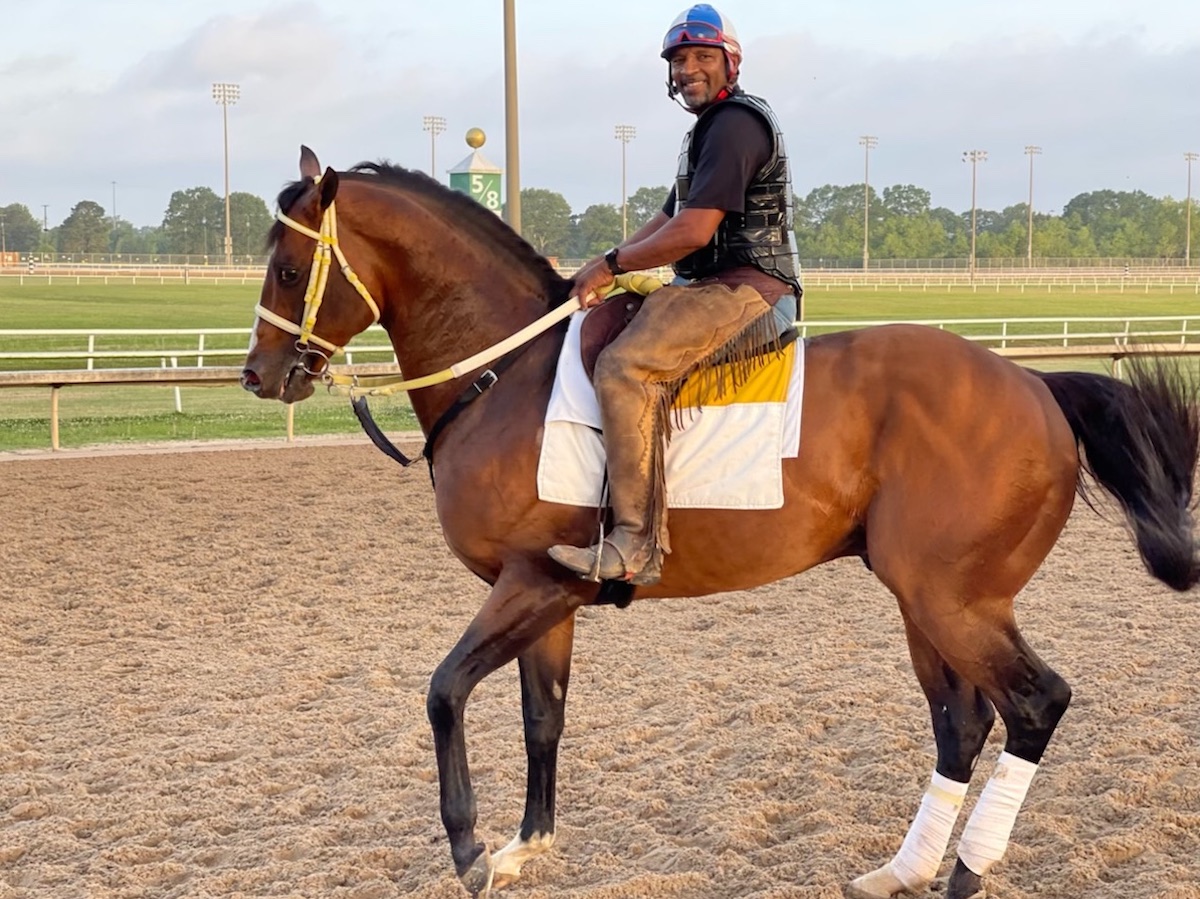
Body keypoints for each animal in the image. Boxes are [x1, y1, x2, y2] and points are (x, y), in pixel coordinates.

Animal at [238, 148, 1195, 897]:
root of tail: (1034, 383)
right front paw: (526, 845)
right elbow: (542, 715)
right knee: (961, 721)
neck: (508, 372)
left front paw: (471, 846)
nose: (257, 375)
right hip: (929, 600)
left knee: (1035, 703)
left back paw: (967, 870)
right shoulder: (550, 595)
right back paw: (908, 866)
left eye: (286, 269)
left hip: (954, 598)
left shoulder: (530, 583)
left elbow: (443, 691)